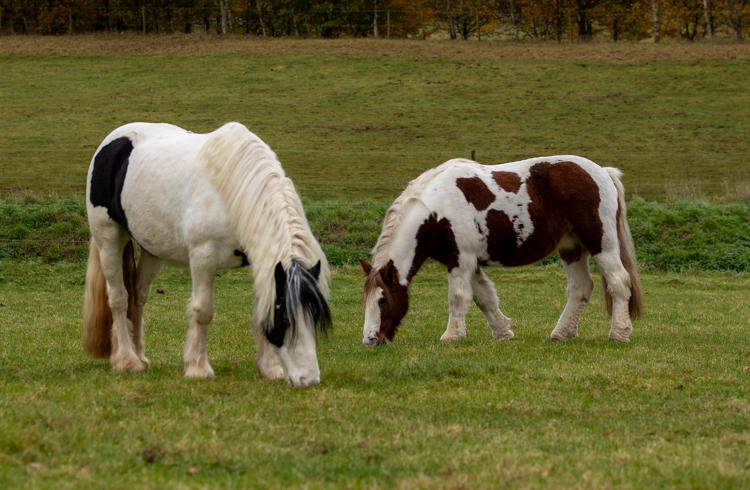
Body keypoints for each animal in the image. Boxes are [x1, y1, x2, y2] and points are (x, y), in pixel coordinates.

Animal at [82, 122, 331, 388]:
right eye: (285, 318)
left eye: (315, 316)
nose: (308, 379)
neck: (232, 190)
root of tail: (111, 141)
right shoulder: (203, 258)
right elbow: (203, 311)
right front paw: (198, 368)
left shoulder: (261, 263)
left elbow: (259, 311)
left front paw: (269, 369)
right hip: (108, 239)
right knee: (119, 298)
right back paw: (127, 360)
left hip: (152, 250)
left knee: (138, 296)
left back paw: (140, 356)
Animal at [360, 156, 643, 346]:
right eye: (365, 300)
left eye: (382, 300)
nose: (371, 340)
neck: (438, 209)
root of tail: (603, 172)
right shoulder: (470, 262)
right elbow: (484, 297)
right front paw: (502, 332)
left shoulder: (460, 260)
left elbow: (459, 297)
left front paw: (452, 335)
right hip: (571, 247)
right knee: (581, 287)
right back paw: (562, 333)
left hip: (601, 244)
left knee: (619, 282)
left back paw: (619, 333)